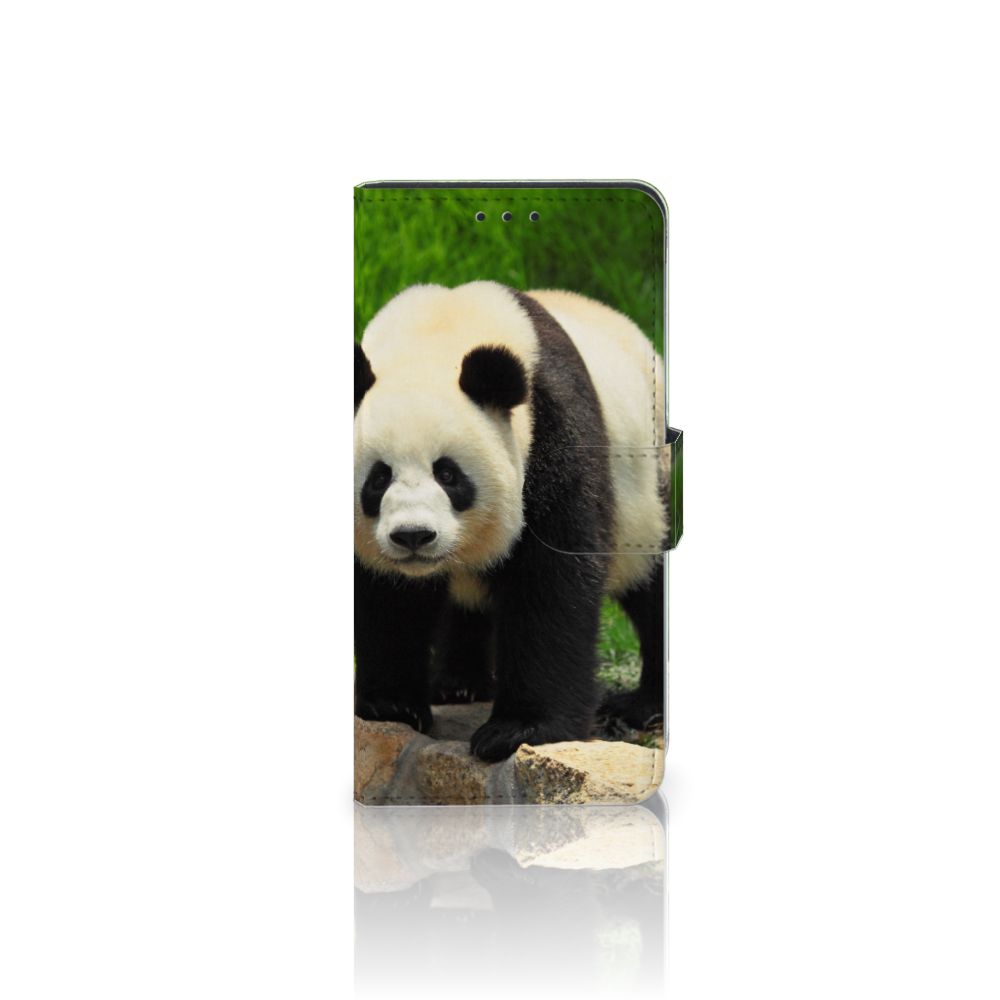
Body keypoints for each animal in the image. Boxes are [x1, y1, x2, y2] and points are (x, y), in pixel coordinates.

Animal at [354, 281, 667, 763]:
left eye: (448, 474)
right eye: (378, 478)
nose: (413, 536)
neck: (436, 336)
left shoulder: (552, 431)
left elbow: (552, 580)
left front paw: (519, 729)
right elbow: (387, 596)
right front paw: (392, 704)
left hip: (646, 494)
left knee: (650, 581)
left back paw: (643, 704)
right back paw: (459, 684)